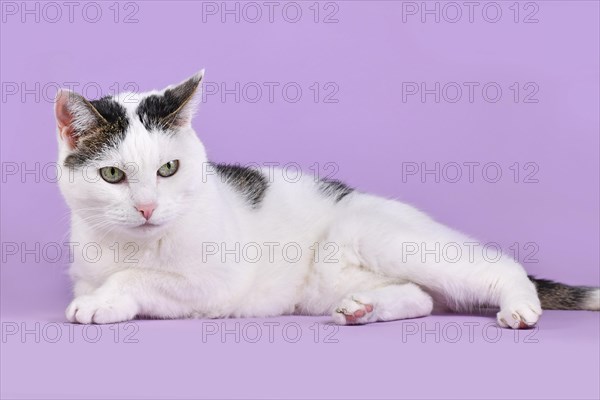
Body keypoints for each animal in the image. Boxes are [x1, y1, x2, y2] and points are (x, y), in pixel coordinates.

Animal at [56, 71, 600, 328]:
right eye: (112, 175)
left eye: (168, 169)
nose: (147, 208)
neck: (131, 244)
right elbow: (111, 281)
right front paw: (102, 301)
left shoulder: (216, 282)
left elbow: (140, 277)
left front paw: (107, 298)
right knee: (423, 298)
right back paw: (363, 308)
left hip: (391, 241)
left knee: (499, 265)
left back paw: (520, 308)